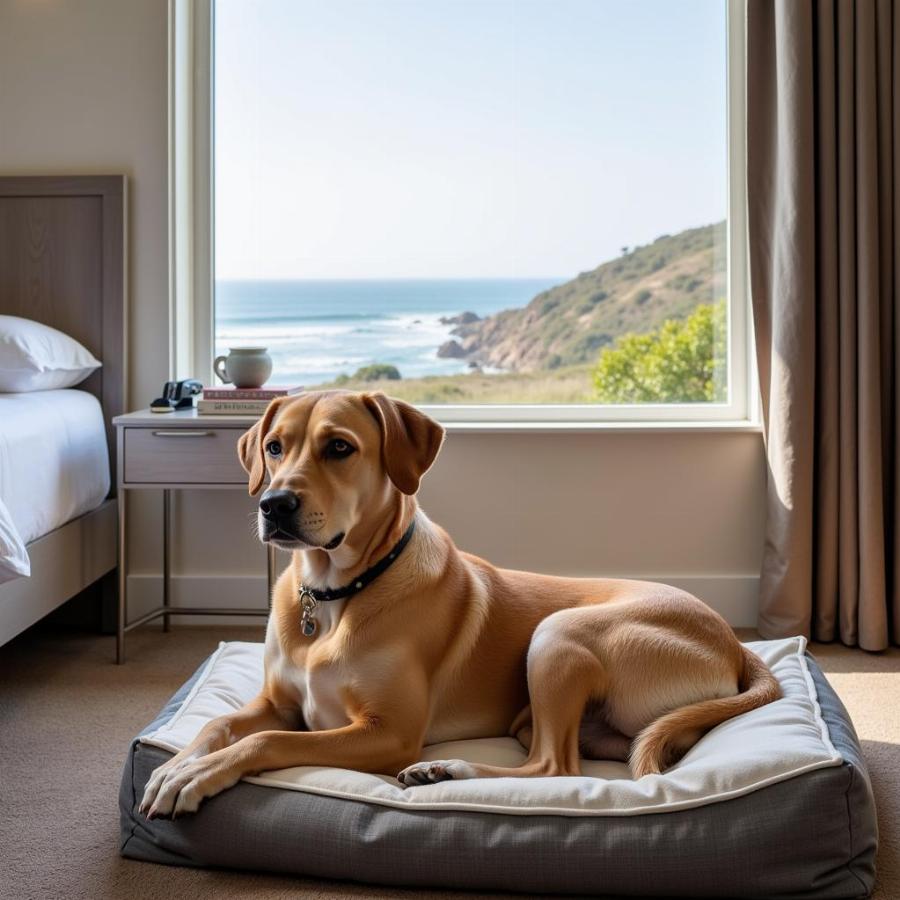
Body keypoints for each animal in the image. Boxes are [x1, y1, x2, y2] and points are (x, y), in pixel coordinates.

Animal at [141, 390, 780, 820]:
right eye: (274, 447)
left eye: (339, 447)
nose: (273, 504)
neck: (335, 597)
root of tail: (735, 644)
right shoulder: (276, 702)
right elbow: (220, 722)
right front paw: (176, 764)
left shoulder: (388, 731)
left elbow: (268, 741)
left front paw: (198, 774)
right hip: (544, 709)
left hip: (557, 634)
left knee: (556, 767)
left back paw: (448, 769)